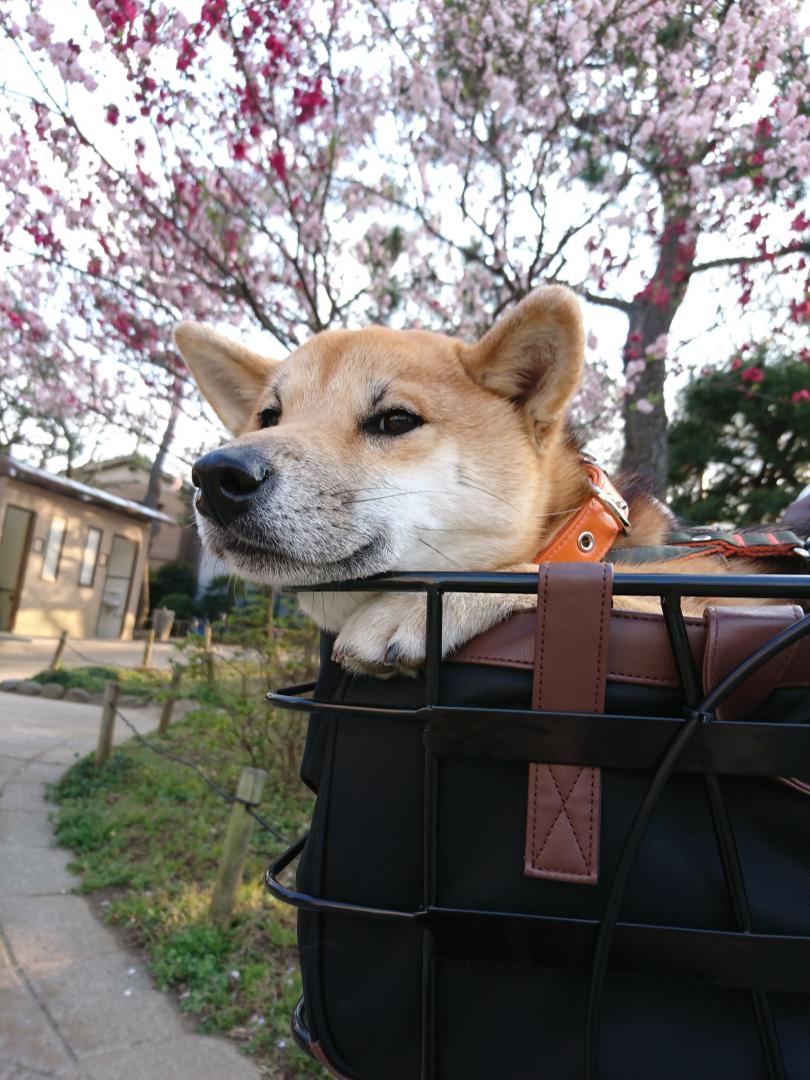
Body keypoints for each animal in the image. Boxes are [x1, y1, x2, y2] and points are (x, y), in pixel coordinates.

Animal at [179, 287, 734, 673]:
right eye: (268, 417)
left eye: (396, 420)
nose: (216, 475)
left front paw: (406, 610)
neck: (584, 537)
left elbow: (542, 574)